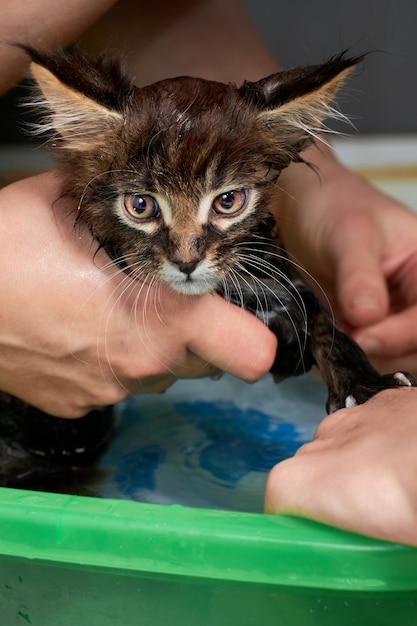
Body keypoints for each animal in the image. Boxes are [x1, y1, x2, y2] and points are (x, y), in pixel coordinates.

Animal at [1, 46, 412, 490]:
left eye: (227, 201)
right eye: (141, 205)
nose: (186, 261)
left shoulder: (276, 268)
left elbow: (324, 324)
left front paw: (367, 386)